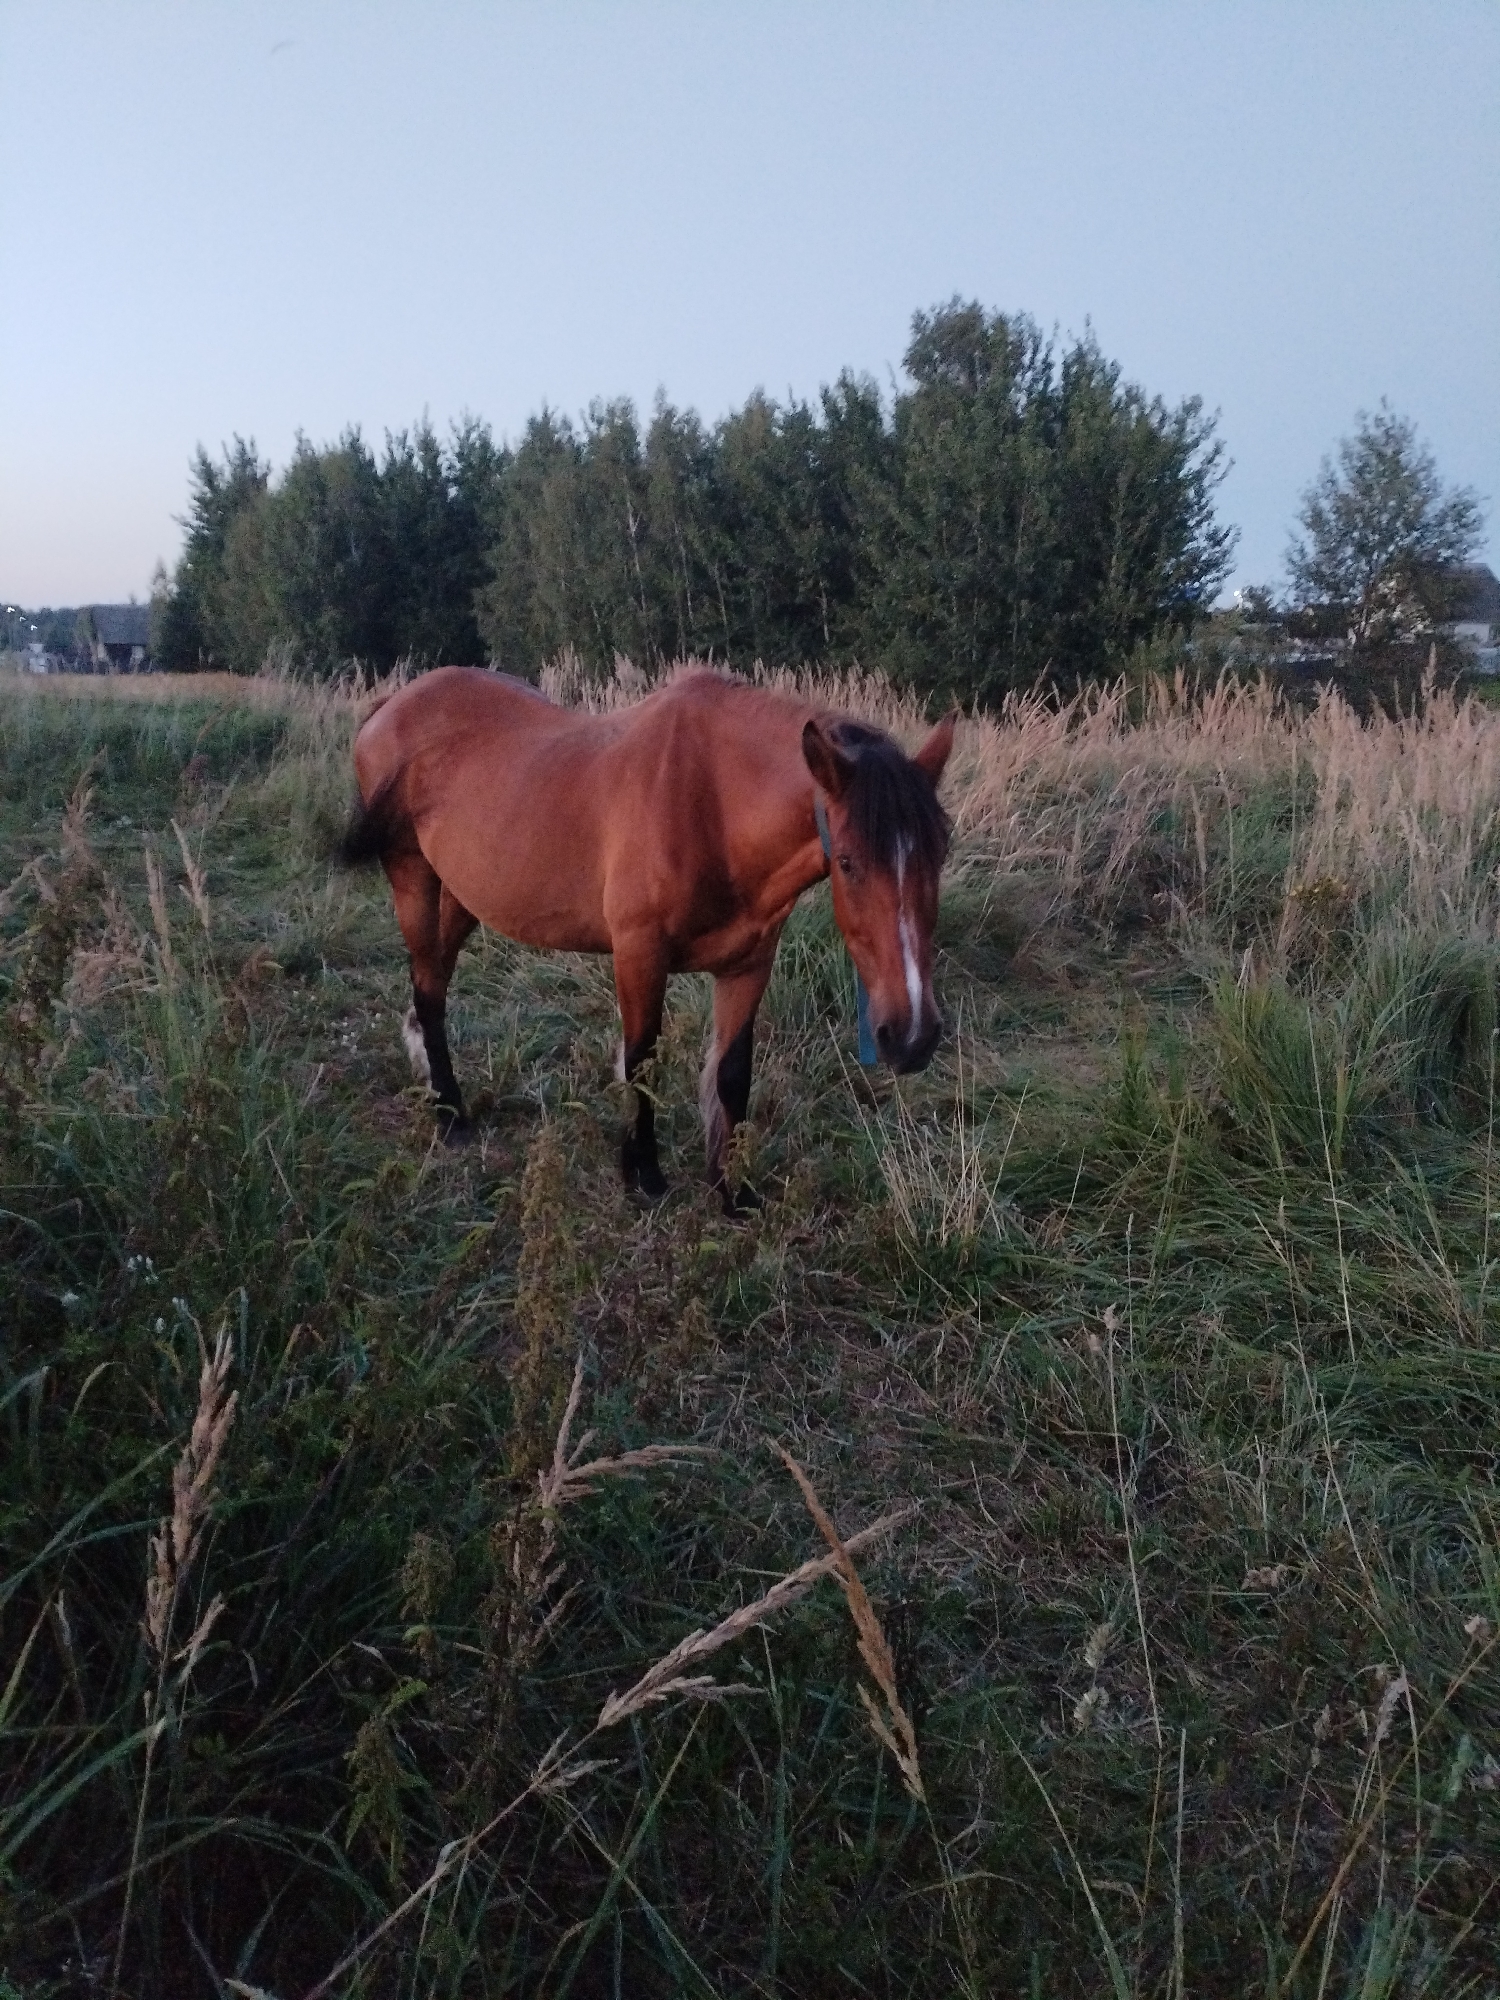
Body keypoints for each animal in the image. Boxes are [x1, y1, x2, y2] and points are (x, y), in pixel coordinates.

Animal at [341, 665, 955, 1208]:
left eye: (940, 854)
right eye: (848, 862)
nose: (912, 1036)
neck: (712, 803)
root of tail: (390, 707)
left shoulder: (747, 964)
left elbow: (732, 1073)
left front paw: (732, 1191)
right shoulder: (639, 953)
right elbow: (642, 1061)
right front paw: (644, 1175)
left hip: (466, 894)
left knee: (434, 981)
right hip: (413, 875)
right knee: (427, 984)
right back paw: (450, 1115)